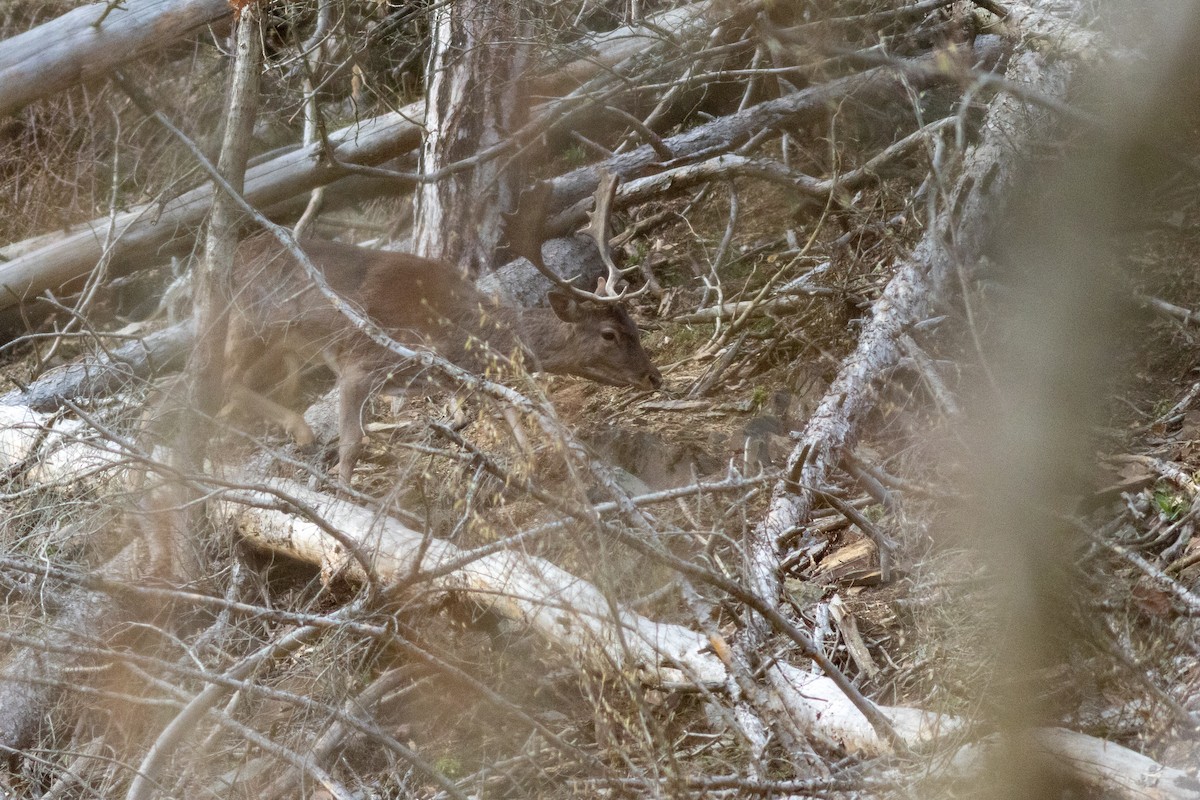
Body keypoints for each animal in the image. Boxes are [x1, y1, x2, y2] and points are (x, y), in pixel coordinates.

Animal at [222, 177, 661, 483]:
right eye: (609, 333)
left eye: (634, 324)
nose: (654, 376)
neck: (454, 330)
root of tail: (236, 256)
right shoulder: (360, 363)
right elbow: (351, 446)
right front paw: (343, 499)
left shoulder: (463, 378)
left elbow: (512, 419)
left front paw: (530, 467)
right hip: (249, 324)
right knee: (224, 382)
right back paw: (300, 431)